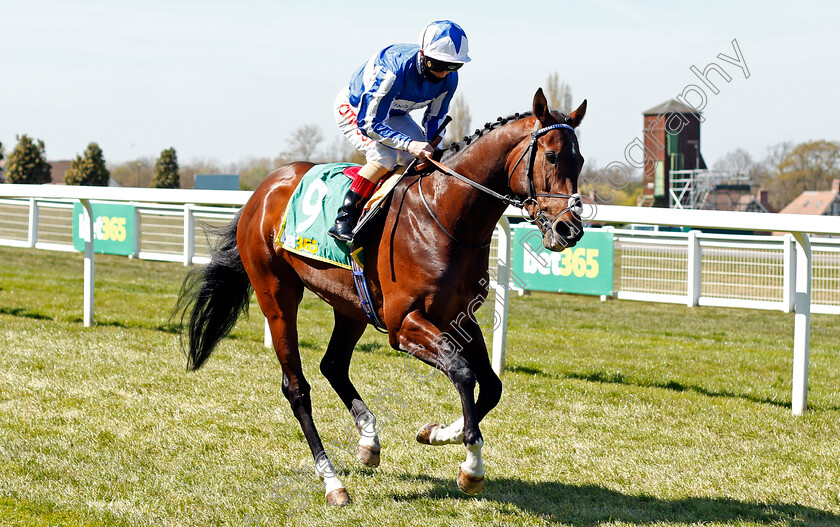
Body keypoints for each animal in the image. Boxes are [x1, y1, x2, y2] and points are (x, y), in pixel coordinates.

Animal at [177, 88, 584, 506]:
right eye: (552, 156)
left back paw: (368, 441)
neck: (443, 216)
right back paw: (332, 482)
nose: (570, 229)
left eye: (580, 159)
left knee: (333, 365)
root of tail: (263, 189)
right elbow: (462, 372)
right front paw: (471, 466)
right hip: (276, 294)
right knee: (297, 388)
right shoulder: (403, 324)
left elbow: (491, 385)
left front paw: (436, 432)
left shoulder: (460, 317)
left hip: (351, 305)